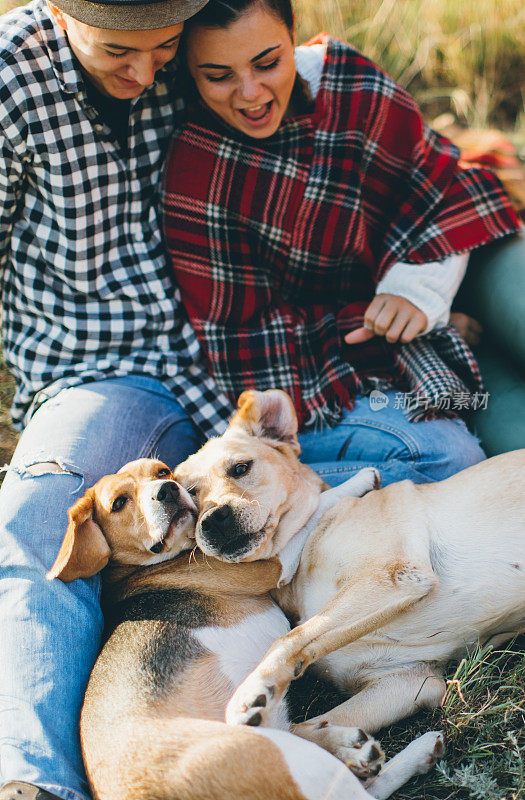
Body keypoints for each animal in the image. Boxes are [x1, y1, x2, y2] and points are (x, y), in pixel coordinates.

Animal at [47, 456, 444, 800]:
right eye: (119, 503)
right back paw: (407, 750)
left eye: (161, 471)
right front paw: (359, 480)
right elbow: (309, 512)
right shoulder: (271, 563)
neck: (138, 569)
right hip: (282, 755)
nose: (168, 490)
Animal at [175, 390, 524, 736]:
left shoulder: (390, 575)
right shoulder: (409, 680)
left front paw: (252, 690)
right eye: (189, 494)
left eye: (240, 468)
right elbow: (303, 734)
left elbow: (289, 639)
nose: (213, 521)